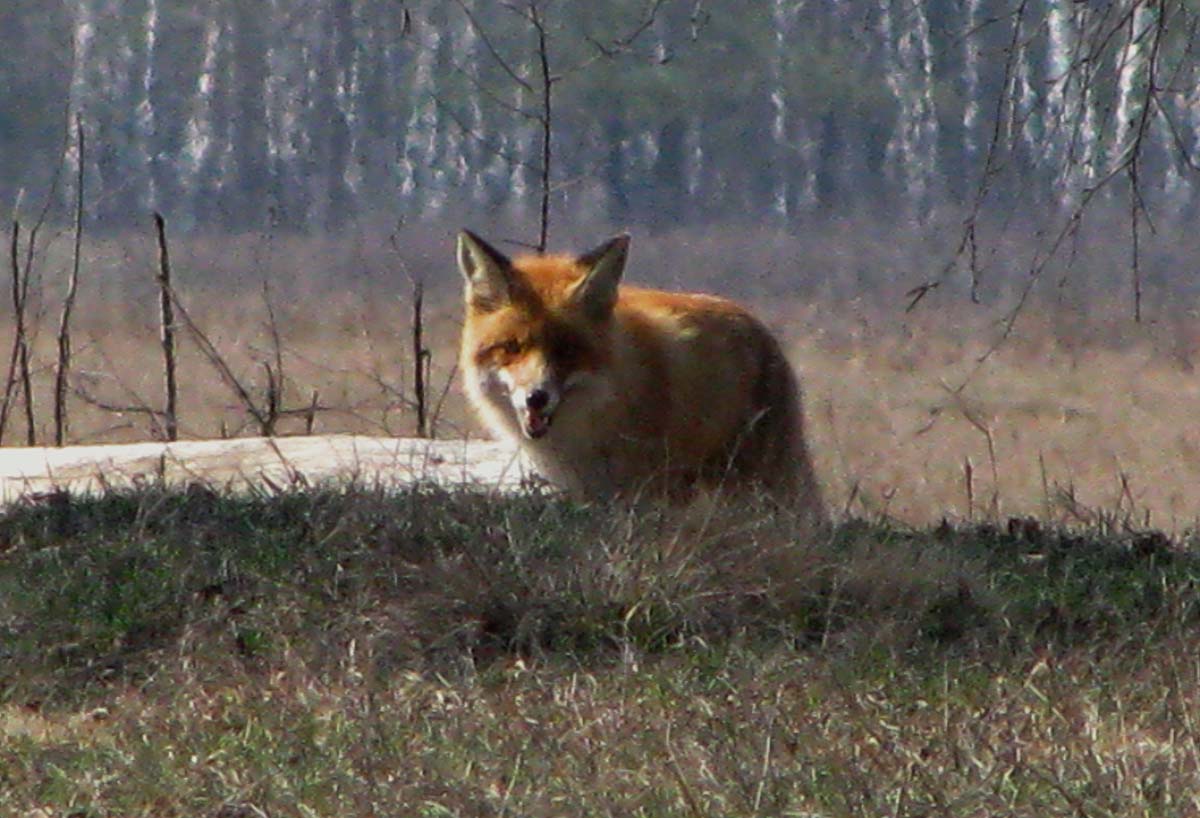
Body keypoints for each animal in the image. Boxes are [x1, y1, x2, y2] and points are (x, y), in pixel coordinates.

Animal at [456, 229, 824, 520]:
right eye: (511, 347)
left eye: (568, 351)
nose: (537, 397)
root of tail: (757, 324)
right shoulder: (590, 495)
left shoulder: (642, 494)